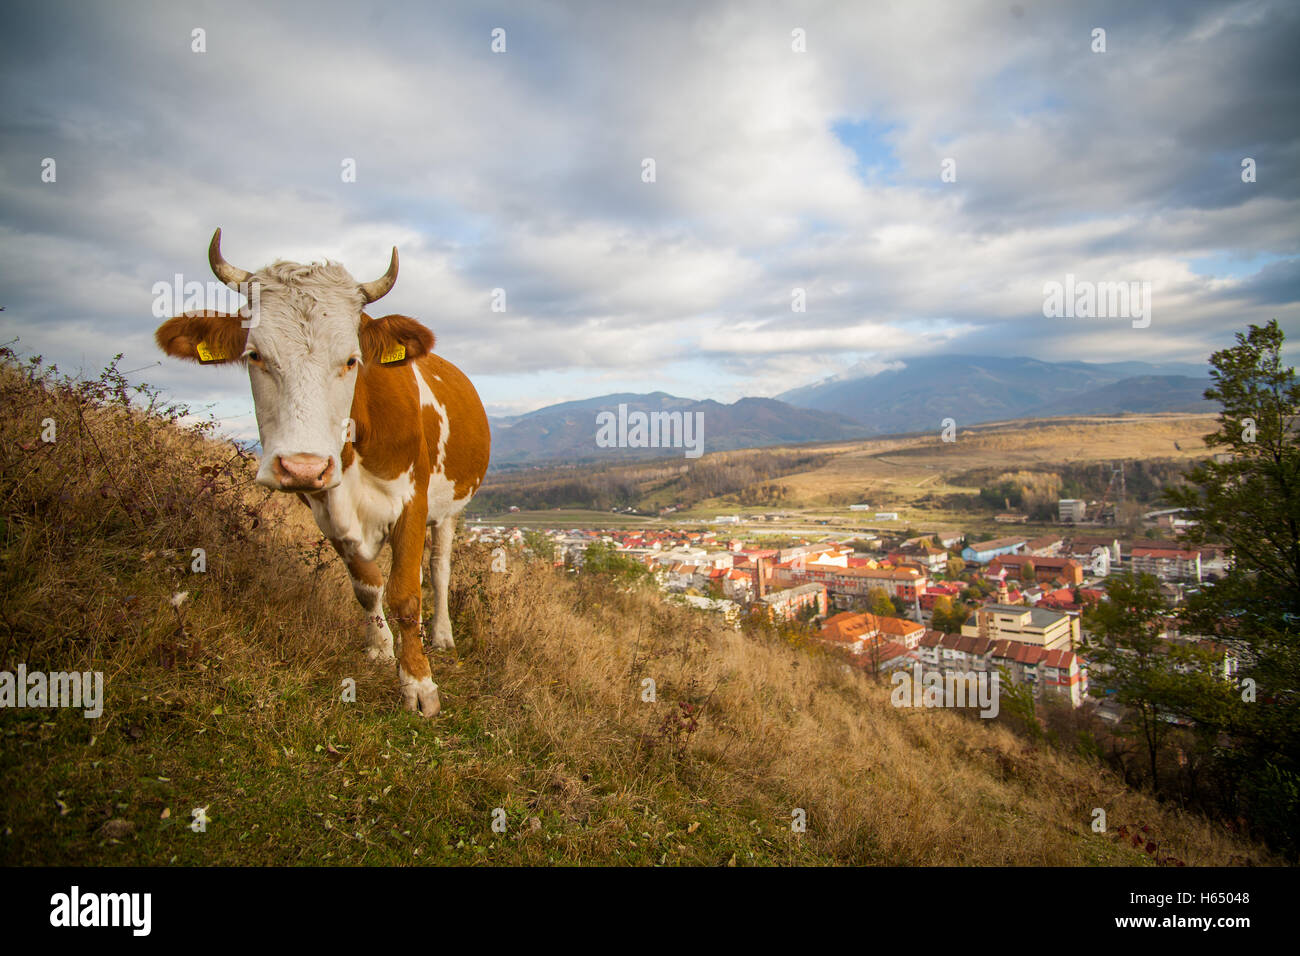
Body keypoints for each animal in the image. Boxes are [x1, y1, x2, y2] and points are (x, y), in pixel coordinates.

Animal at [155, 229, 490, 717]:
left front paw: (419, 684)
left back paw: (442, 635)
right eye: (254, 355)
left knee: (440, 569)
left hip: (450, 507)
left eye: (352, 359)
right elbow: (368, 586)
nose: (302, 465)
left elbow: (406, 593)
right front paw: (380, 647)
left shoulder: (413, 500)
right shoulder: (323, 505)